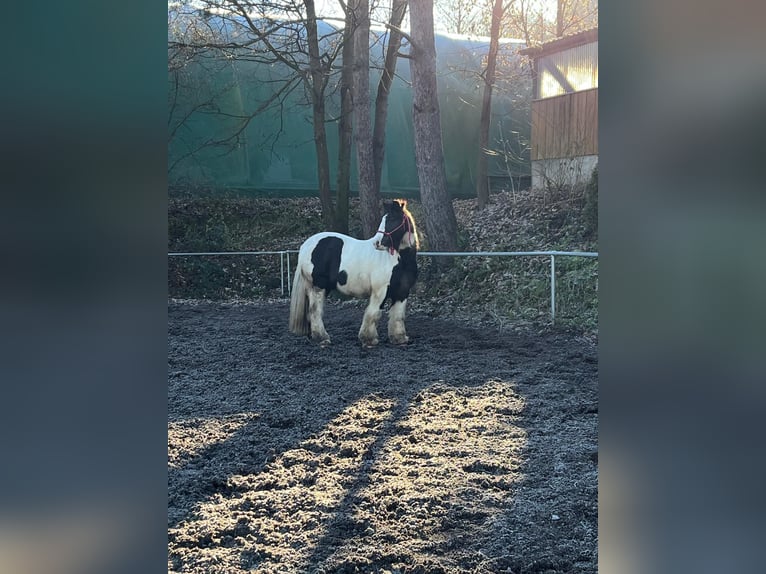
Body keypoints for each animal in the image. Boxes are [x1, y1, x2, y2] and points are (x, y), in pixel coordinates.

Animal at [288, 200, 420, 348]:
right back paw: (322, 338)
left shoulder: (402, 292)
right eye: (384, 219)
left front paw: (399, 338)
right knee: (315, 310)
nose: (377, 243)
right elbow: (373, 313)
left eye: (392, 218)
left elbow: (398, 315)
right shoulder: (380, 290)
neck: (399, 260)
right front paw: (368, 339)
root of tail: (305, 245)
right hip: (318, 286)